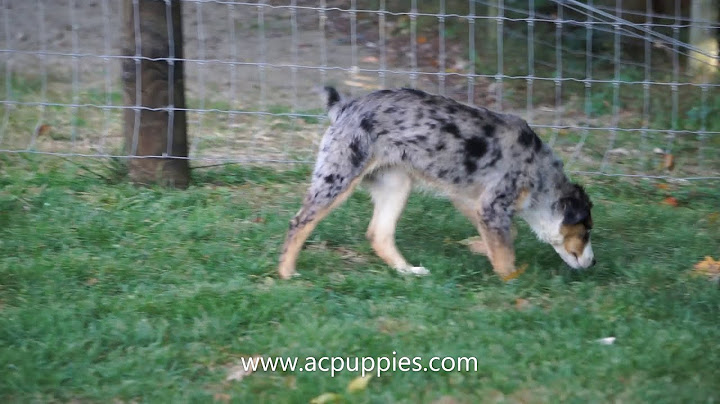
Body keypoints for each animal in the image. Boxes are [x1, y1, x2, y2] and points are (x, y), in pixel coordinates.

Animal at [278, 86, 592, 280]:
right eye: (586, 231)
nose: (594, 262)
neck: (540, 173)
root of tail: (346, 105)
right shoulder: (492, 205)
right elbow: (505, 253)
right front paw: (512, 279)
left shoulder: (471, 200)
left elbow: (507, 235)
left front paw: (477, 247)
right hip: (338, 177)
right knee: (300, 222)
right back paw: (286, 273)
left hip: (396, 185)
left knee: (379, 235)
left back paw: (407, 271)